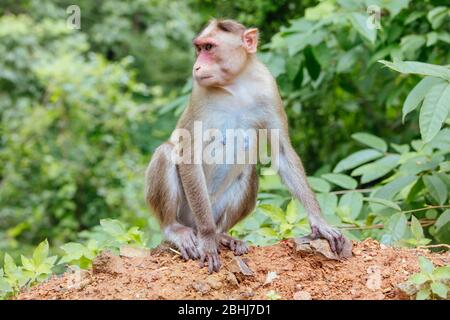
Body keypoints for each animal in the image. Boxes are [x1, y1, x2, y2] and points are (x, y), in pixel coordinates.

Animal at [145, 18, 348, 272]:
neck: (236, 85)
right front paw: (208, 241)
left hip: (215, 209)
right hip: (192, 212)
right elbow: (188, 155)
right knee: (166, 153)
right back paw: (180, 229)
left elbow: (282, 151)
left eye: (209, 47)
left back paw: (222, 235)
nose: (197, 67)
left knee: (249, 171)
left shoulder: (268, 87)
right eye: (199, 48)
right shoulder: (199, 93)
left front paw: (320, 223)